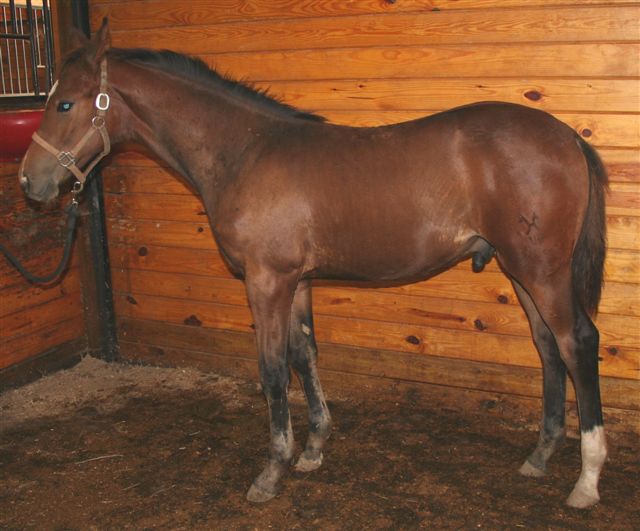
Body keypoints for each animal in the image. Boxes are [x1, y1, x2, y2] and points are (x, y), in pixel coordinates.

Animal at [19, 20, 608, 509]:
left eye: (65, 104)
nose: (30, 181)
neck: (245, 152)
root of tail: (567, 137)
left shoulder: (266, 281)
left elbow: (273, 369)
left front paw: (271, 471)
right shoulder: (297, 281)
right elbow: (305, 354)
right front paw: (313, 449)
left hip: (541, 270)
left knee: (577, 341)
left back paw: (586, 480)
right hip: (522, 269)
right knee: (548, 347)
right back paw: (539, 457)